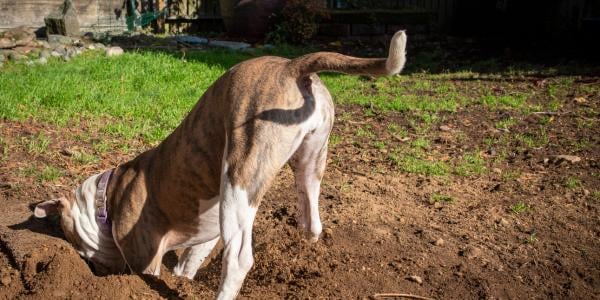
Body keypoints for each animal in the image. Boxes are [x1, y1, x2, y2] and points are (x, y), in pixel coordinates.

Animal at [32, 30, 408, 298]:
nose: (95, 271)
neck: (106, 195)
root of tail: (292, 67)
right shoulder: (203, 234)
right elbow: (189, 262)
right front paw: (184, 281)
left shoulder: (144, 253)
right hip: (310, 159)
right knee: (312, 215)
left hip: (239, 180)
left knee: (239, 259)